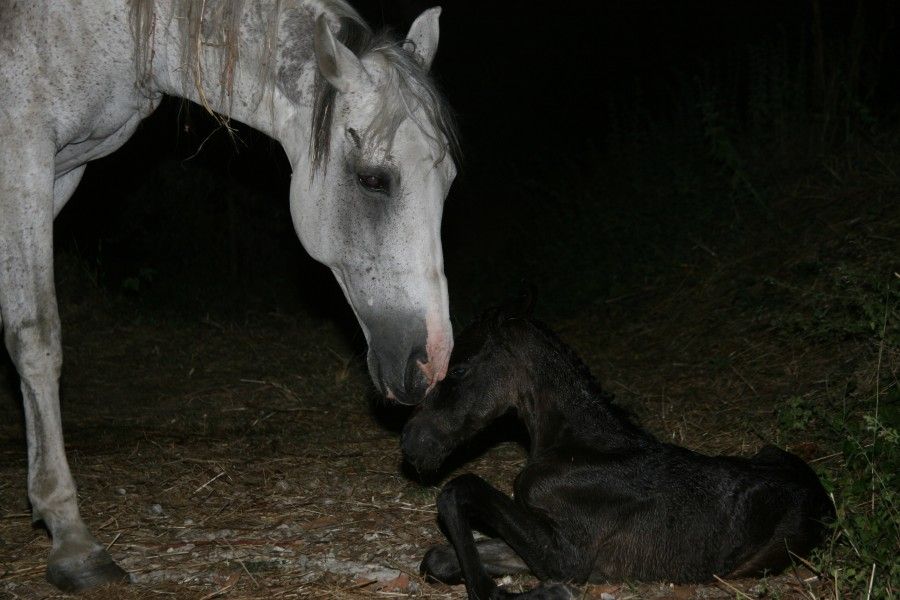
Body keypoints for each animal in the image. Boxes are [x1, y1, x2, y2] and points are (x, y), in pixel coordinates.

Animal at [0, 0, 458, 592]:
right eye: (373, 180)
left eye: (448, 180)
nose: (433, 360)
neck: (101, 24)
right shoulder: (22, 159)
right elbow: (36, 338)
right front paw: (72, 541)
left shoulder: (62, 170)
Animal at [404, 312, 832, 596]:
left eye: (458, 371)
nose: (410, 443)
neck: (580, 449)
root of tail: (821, 494)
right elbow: (439, 558)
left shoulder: (569, 558)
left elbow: (458, 490)